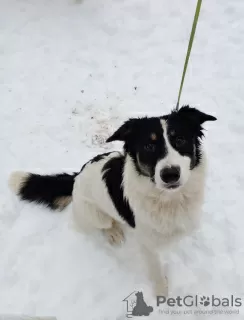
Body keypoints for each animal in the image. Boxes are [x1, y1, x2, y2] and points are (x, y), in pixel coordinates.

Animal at [8, 106, 216, 296]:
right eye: (148, 146)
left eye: (180, 140)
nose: (170, 175)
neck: (169, 198)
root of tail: (77, 176)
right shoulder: (147, 243)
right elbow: (156, 269)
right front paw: (161, 294)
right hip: (95, 214)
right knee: (104, 224)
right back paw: (113, 233)